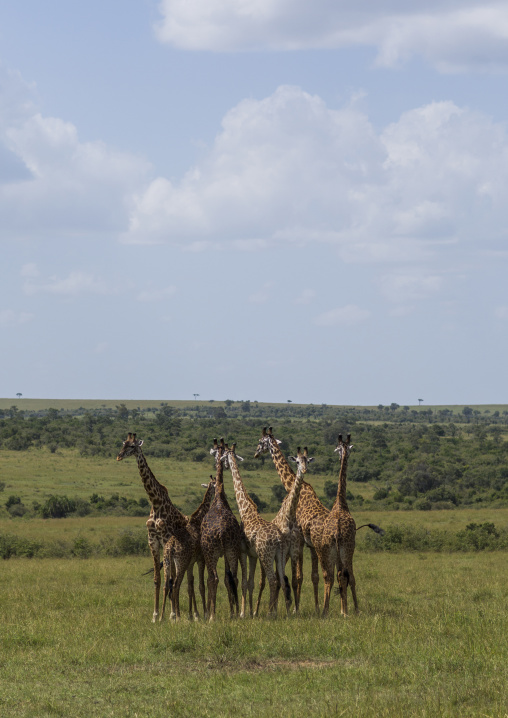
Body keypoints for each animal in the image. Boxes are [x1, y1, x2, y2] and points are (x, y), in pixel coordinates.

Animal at [116, 433, 197, 622]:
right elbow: (157, 579)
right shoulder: (152, 541)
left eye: (133, 446)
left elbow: (170, 579)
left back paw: (181, 614)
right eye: (123, 444)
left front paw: (171, 615)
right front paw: (155, 616)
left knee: (179, 578)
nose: (119, 456)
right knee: (176, 578)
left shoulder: (166, 540)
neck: (155, 502)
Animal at [160, 476, 216, 621]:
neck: (198, 520)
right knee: (175, 585)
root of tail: (170, 547)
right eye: (214, 484)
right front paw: (204, 613)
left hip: (168, 562)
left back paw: (160, 617)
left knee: (166, 585)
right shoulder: (200, 559)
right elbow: (201, 585)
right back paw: (178, 617)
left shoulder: (191, 563)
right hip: (181, 562)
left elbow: (190, 587)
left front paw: (193, 615)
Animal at [200, 438, 247, 621]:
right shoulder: (227, 552)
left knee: (214, 578)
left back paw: (212, 616)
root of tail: (220, 532)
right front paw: (232, 611)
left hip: (211, 552)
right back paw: (235, 613)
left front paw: (210, 613)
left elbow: (212, 580)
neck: (219, 497)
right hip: (232, 550)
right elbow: (229, 580)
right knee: (233, 578)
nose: (217, 462)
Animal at [222, 443, 292, 618]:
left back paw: (271, 614)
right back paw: (286, 613)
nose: (224, 465)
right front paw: (251, 612)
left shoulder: (242, 551)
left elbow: (244, 582)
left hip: (266, 555)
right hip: (280, 555)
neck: (245, 510)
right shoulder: (253, 554)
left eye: (223, 456)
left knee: (273, 580)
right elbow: (251, 583)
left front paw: (242, 613)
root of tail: (278, 539)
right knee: (282, 580)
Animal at [254, 426, 330, 613]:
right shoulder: (305, 546)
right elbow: (310, 576)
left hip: (322, 548)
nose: (256, 454)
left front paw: (296, 608)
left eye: (260, 442)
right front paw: (312, 608)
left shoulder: (300, 544)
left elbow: (299, 577)